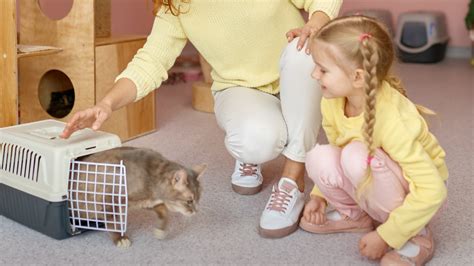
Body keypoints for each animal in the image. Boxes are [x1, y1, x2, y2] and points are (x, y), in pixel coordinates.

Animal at [72, 145, 206, 247]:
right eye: (189, 201)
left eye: (198, 199)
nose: (196, 211)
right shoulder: (110, 201)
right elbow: (113, 223)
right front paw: (120, 238)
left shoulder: (147, 202)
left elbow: (163, 211)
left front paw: (160, 230)